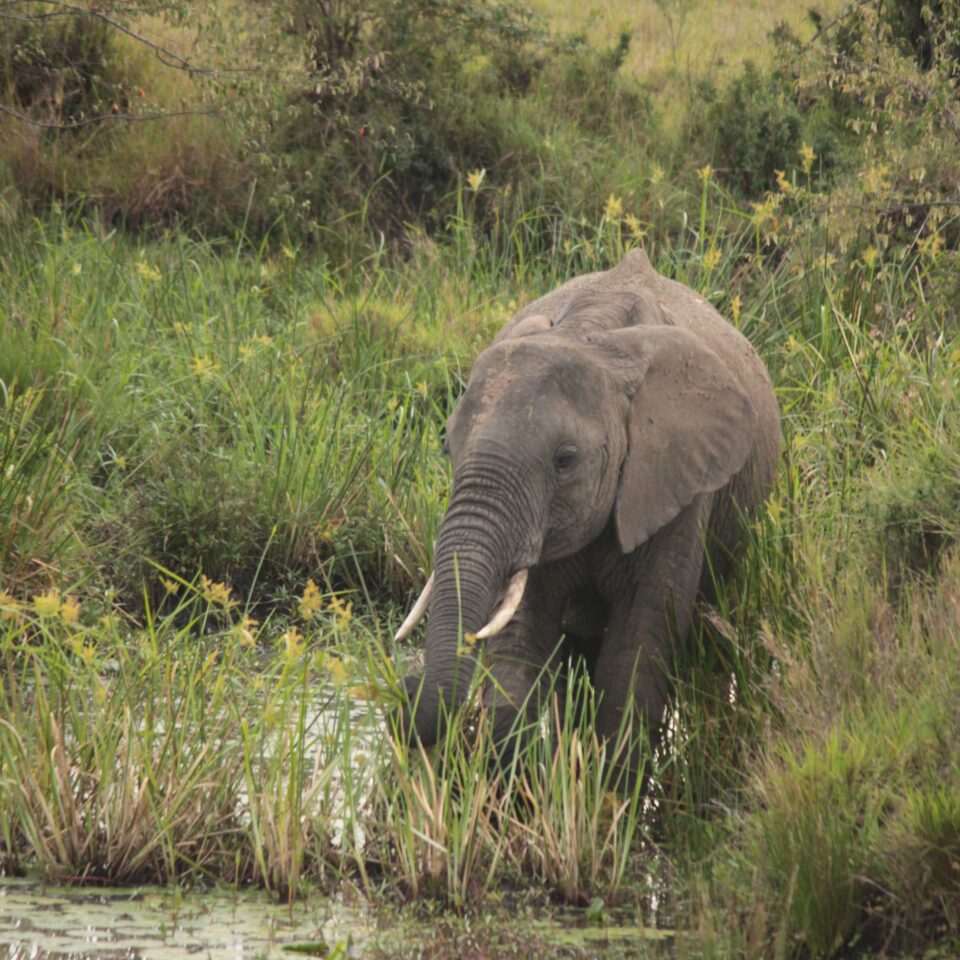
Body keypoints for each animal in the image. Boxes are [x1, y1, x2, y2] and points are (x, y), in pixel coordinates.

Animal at [392, 249, 780, 772]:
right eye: (448, 448)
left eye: (565, 460)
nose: (404, 691)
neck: (592, 334)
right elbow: (523, 634)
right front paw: (518, 782)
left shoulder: (679, 482)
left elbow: (640, 637)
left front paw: (614, 786)